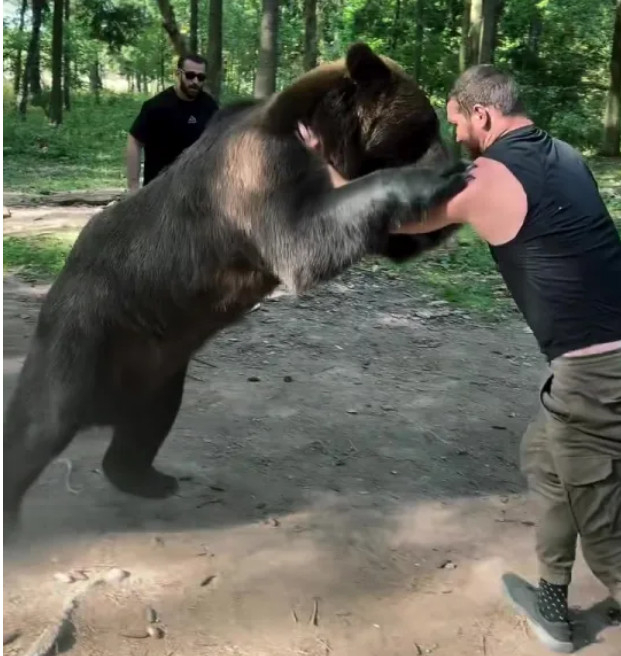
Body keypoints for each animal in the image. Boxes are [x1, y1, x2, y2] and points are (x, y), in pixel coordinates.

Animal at [3, 42, 467, 536]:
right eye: (425, 125)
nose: (452, 149)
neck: (321, 140)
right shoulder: (259, 172)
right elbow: (303, 238)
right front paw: (433, 181)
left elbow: (386, 237)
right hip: (86, 331)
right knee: (40, 423)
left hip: (155, 366)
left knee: (148, 421)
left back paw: (145, 477)